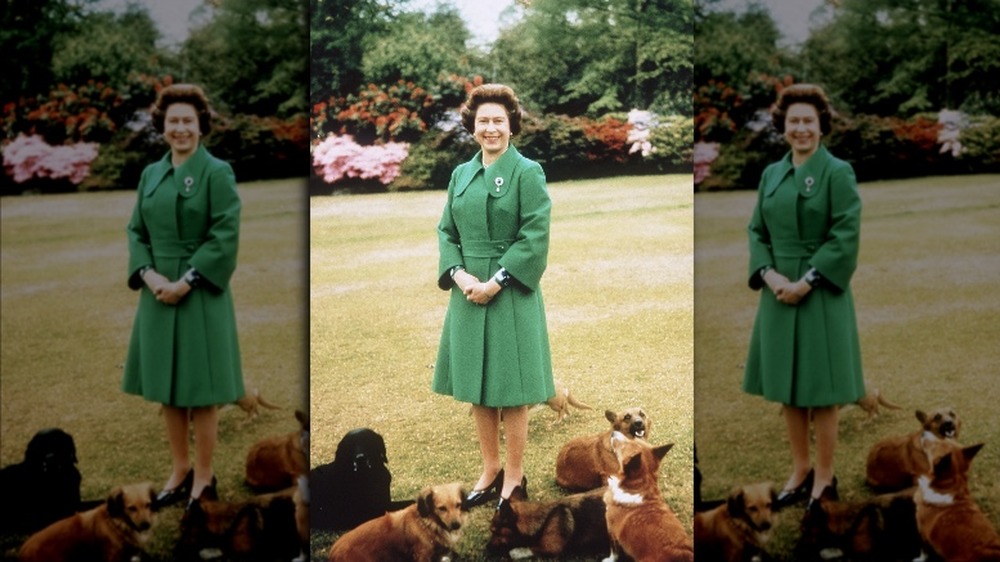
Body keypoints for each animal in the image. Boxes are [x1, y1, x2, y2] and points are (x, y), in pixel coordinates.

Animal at [17, 480, 155, 560]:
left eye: (148, 505)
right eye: (131, 508)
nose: (146, 525)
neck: (116, 523)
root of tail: (22, 552)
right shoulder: (113, 556)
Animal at [328, 480, 468, 560]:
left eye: (458, 505)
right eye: (442, 508)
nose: (456, 525)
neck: (428, 523)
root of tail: (333, 552)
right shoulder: (423, 554)